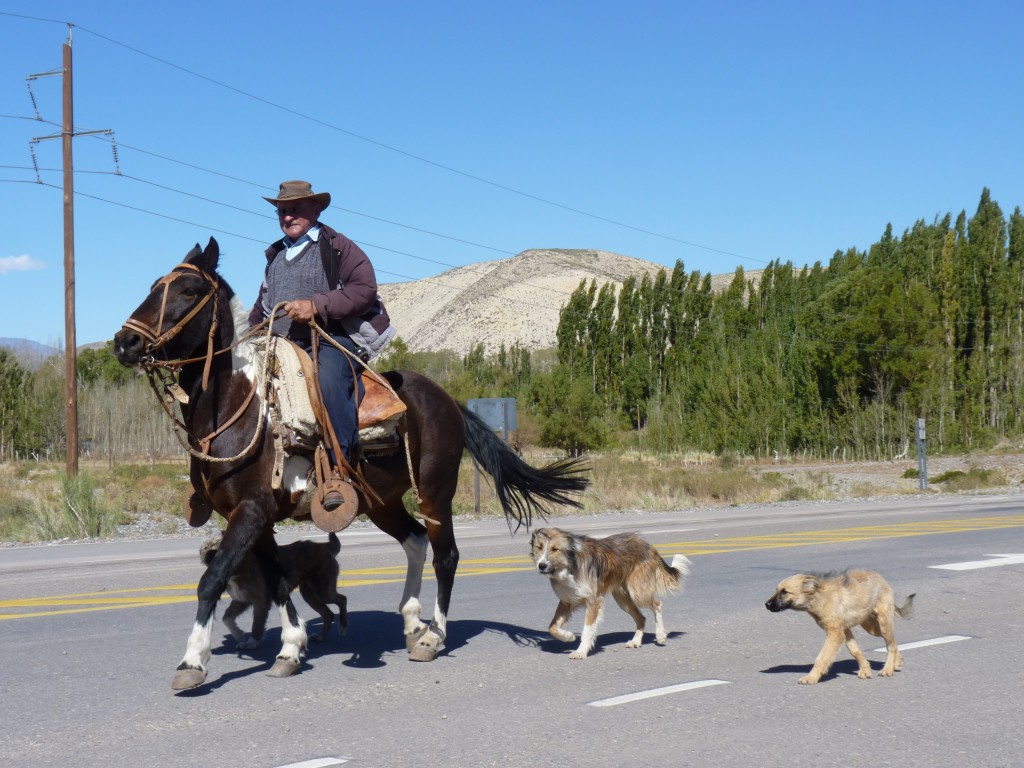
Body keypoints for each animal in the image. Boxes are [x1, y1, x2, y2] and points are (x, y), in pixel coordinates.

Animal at [199, 532, 348, 651]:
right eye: (206, 547)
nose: (207, 554)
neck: (239, 569)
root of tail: (325, 546)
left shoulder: (260, 601)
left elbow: (256, 624)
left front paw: (251, 643)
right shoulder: (241, 600)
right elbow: (227, 617)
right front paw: (238, 633)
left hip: (323, 590)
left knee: (342, 599)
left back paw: (343, 626)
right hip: (309, 594)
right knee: (328, 614)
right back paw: (321, 636)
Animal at [532, 528, 692, 663]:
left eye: (555, 549)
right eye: (539, 547)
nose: (541, 565)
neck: (570, 565)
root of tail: (647, 545)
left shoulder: (594, 601)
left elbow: (587, 630)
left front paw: (581, 651)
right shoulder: (567, 601)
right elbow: (552, 627)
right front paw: (568, 637)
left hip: (638, 593)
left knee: (657, 605)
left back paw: (660, 635)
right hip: (623, 600)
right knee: (641, 618)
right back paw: (636, 641)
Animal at [765, 573, 917, 684]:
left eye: (785, 592)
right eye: (777, 590)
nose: (766, 605)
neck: (820, 599)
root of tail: (881, 579)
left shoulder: (835, 634)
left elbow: (822, 658)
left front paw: (811, 677)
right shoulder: (845, 631)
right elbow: (855, 651)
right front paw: (865, 670)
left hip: (883, 623)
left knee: (890, 645)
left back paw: (887, 669)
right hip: (871, 627)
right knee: (893, 643)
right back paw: (897, 662)